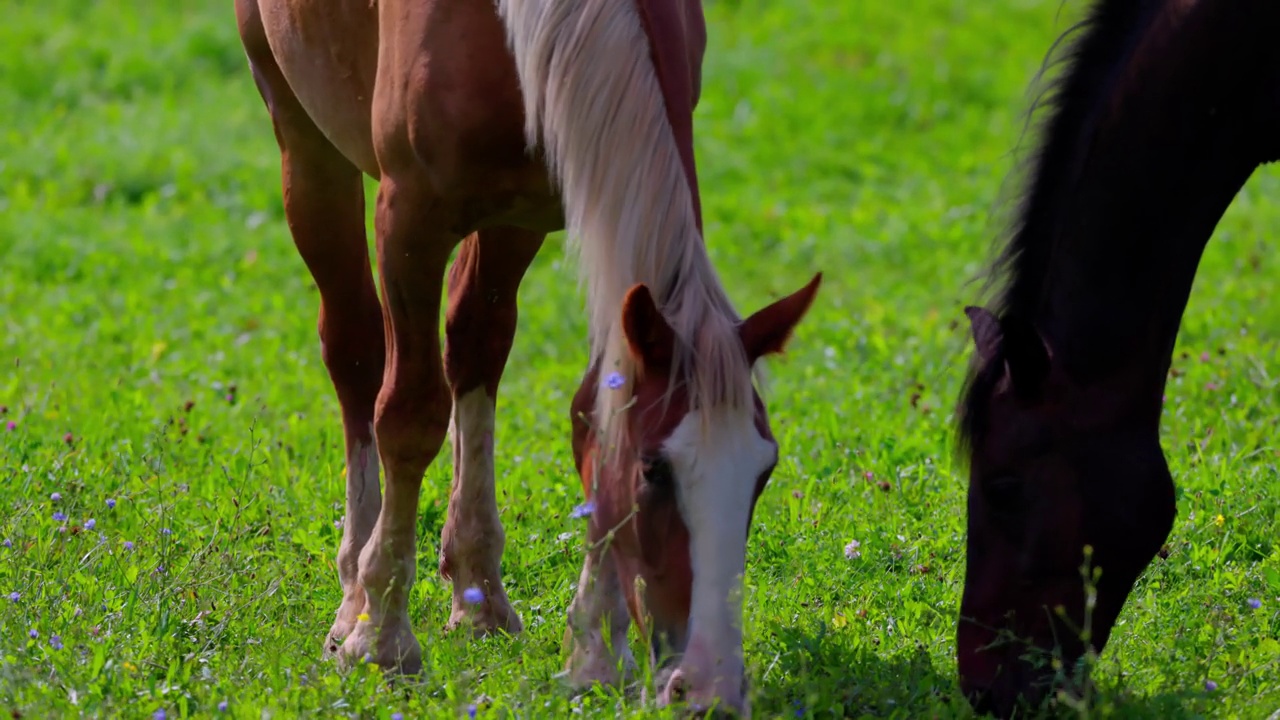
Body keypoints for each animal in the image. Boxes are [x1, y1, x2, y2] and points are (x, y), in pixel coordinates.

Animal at [235, 0, 824, 707]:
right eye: (654, 472)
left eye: (763, 471)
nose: (710, 684)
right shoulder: (408, 219)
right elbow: (409, 416)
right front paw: (382, 643)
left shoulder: (544, 212)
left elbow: (587, 405)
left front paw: (597, 650)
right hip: (304, 138)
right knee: (355, 353)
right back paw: (354, 596)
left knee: (472, 346)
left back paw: (477, 591)